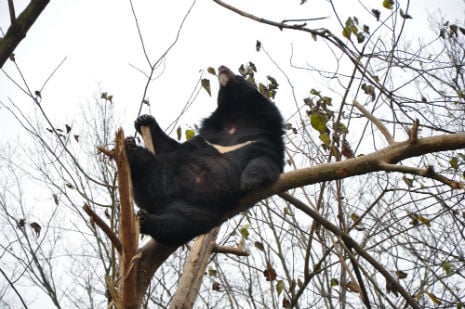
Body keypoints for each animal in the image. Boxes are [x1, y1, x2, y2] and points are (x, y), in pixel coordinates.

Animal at [126, 65, 282, 245]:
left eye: (238, 76)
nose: (221, 67)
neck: (236, 117)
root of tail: (160, 203)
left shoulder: (264, 139)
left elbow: (266, 161)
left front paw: (248, 182)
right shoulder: (205, 137)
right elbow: (170, 147)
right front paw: (144, 120)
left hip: (203, 209)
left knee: (180, 225)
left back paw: (147, 220)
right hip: (160, 174)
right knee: (147, 165)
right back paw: (132, 150)